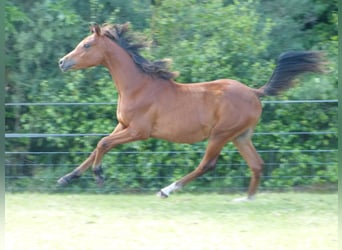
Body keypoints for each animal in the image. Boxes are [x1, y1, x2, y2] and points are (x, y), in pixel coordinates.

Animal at [57, 22, 324, 200]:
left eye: (87, 45)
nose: (62, 62)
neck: (138, 86)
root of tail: (254, 92)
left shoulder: (138, 131)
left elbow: (102, 143)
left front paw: (99, 176)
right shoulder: (122, 125)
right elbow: (98, 146)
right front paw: (66, 178)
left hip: (221, 134)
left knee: (207, 165)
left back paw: (166, 190)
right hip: (240, 136)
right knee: (257, 164)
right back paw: (246, 199)